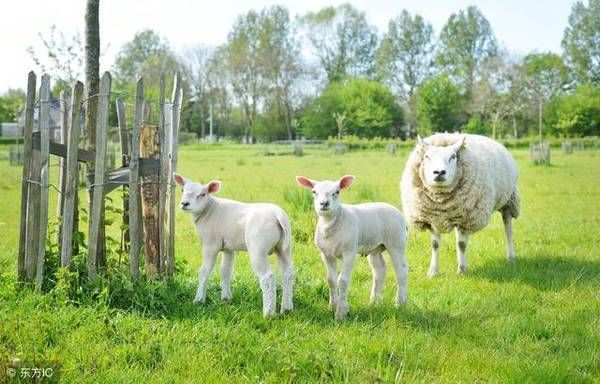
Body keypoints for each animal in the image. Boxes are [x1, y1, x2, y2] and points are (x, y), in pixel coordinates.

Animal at [173, 172, 296, 316]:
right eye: (182, 190)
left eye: (202, 194)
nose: (184, 203)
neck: (208, 210)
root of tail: (278, 215)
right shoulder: (228, 247)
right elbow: (225, 271)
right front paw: (226, 298)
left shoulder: (210, 244)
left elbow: (205, 271)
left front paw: (198, 300)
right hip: (284, 248)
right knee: (288, 274)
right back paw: (287, 309)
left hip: (258, 248)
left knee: (267, 278)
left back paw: (268, 313)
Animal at [296, 176, 408, 320]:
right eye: (314, 192)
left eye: (337, 192)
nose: (324, 204)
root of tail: (398, 212)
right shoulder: (326, 254)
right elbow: (331, 280)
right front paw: (332, 306)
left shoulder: (349, 252)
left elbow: (342, 281)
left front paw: (341, 313)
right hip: (376, 246)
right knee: (379, 269)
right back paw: (374, 302)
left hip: (396, 242)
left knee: (402, 271)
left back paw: (400, 303)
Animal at [398, 133, 520, 276]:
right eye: (427, 156)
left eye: (453, 157)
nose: (439, 172)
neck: (440, 201)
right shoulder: (433, 217)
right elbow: (435, 244)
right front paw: (433, 271)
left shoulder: (465, 219)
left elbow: (461, 244)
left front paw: (462, 270)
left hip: (508, 199)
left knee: (508, 227)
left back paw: (511, 256)